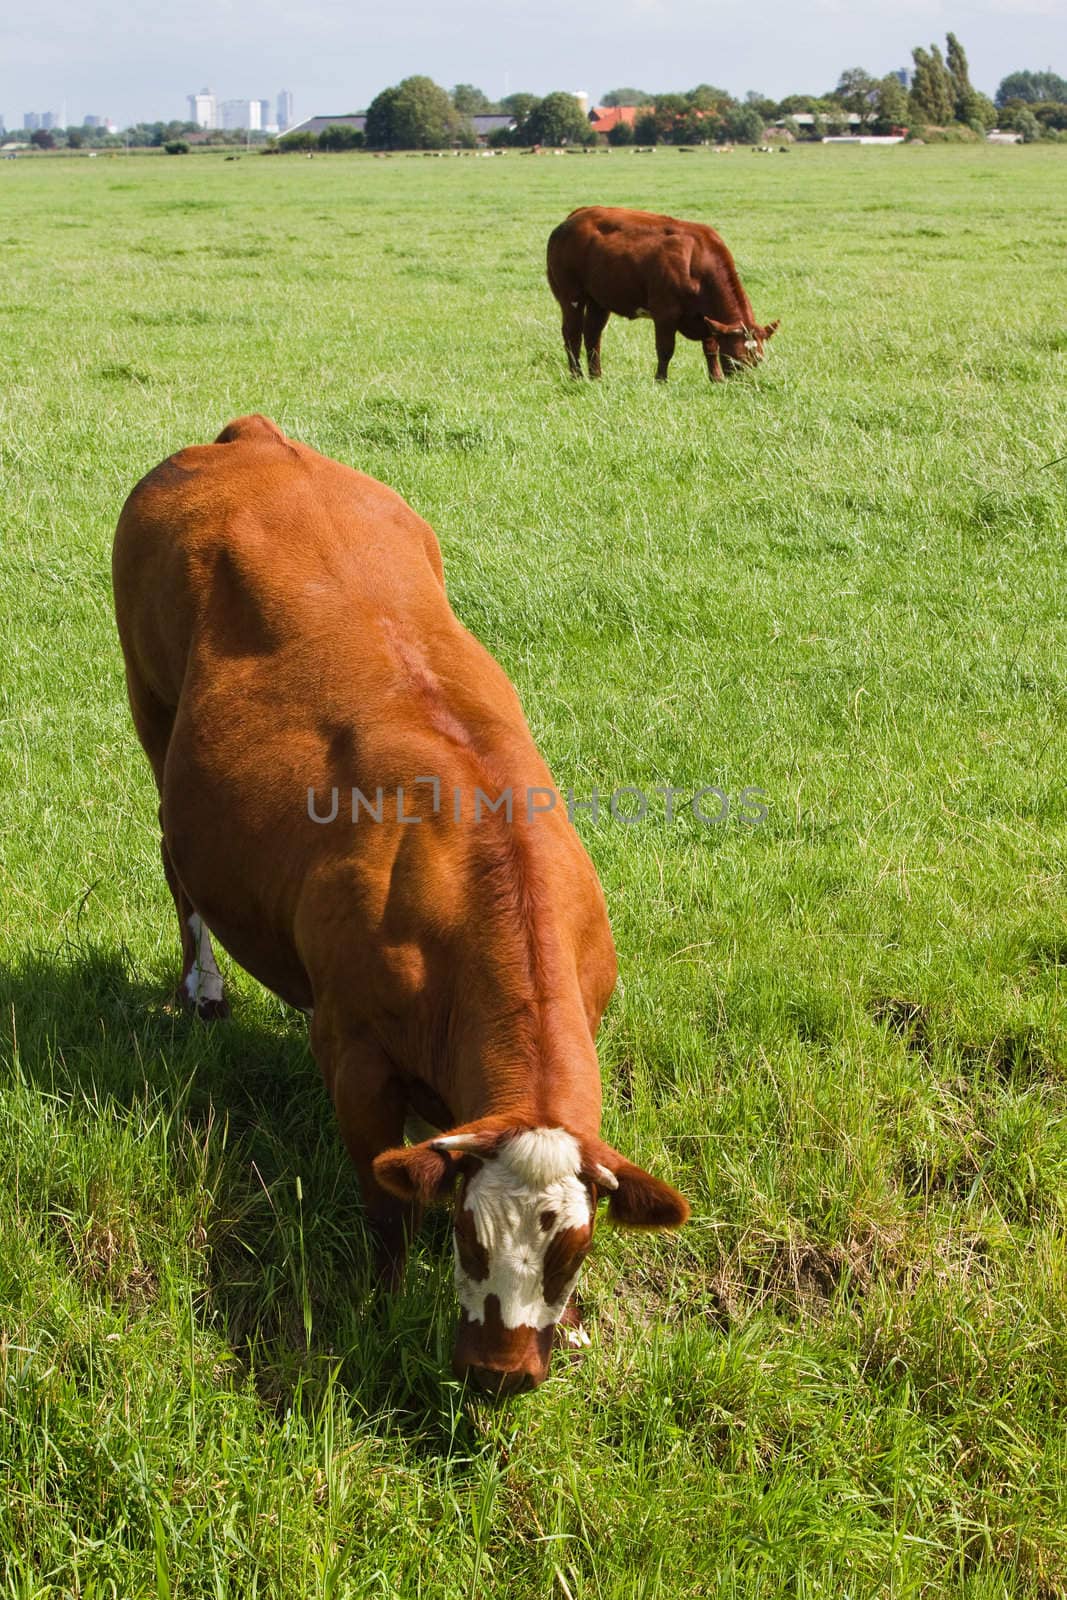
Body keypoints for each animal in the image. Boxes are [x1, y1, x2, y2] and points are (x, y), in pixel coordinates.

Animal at [112, 419, 687, 1395]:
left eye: (572, 1253)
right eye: (467, 1234)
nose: (501, 1373)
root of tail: (256, 438)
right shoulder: (351, 1054)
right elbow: (385, 1200)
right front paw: (380, 1301)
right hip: (149, 704)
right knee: (177, 867)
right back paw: (204, 989)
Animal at [547, 204, 780, 382]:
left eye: (758, 359)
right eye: (735, 359)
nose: (748, 385)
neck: (697, 261)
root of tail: (576, 216)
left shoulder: (706, 318)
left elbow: (710, 348)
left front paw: (716, 379)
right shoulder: (665, 313)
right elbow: (665, 349)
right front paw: (661, 380)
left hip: (599, 301)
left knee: (593, 335)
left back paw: (596, 376)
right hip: (571, 296)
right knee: (572, 334)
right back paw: (576, 376)